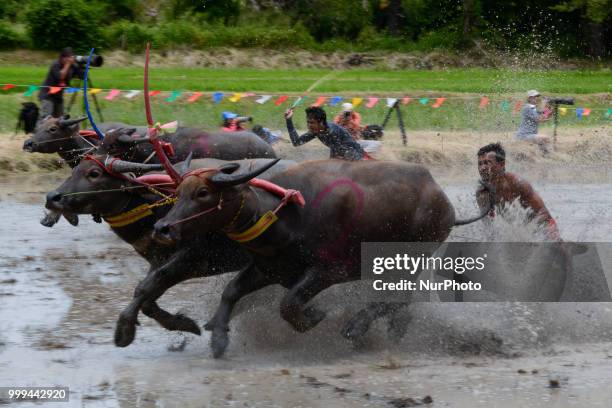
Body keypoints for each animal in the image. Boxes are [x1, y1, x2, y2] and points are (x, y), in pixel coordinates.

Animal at [46, 155, 296, 350]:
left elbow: (145, 288)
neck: (158, 207)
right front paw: (184, 324)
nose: (52, 197)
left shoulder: (192, 260)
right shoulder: (160, 261)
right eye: (74, 169)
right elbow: (147, 297)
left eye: (94, 173)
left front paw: (124, 330)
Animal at [154, 159, 492, 356]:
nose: (162, 227)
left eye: (202, 194)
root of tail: (444, 203)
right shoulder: (269, 269)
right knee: (401, 303)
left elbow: (288, 304)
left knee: (394, 298)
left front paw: (314, 315)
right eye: (178, 193)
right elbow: (231, 292)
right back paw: (390, 332)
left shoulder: (329, 271)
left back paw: (356, 327)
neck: (285, 216)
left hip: (412, 256)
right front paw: (218, 339)